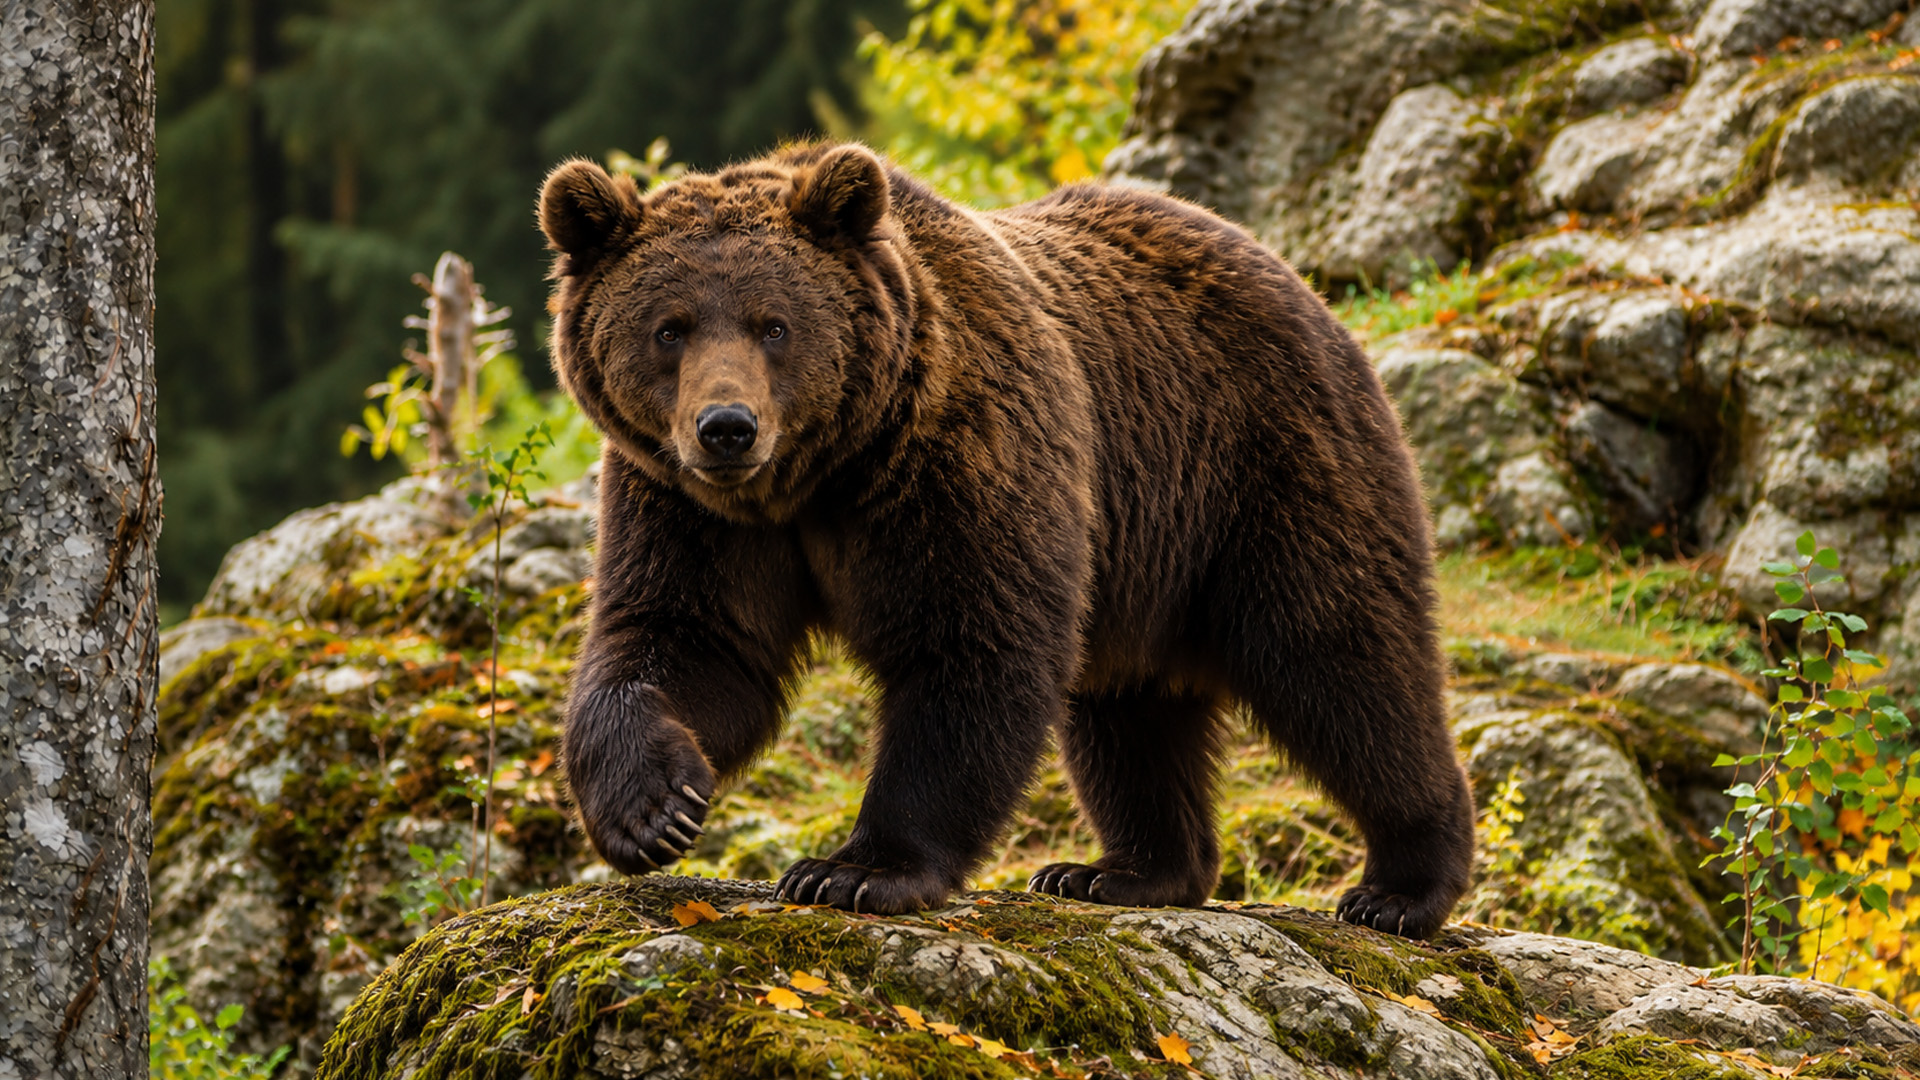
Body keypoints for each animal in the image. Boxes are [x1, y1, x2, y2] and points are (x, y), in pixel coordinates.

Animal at [539, 142, 1475, 939]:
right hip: (1141, 565)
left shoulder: (963, 448)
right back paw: (1122, 870)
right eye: (670, 327)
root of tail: (1297, 278)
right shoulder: (683, 504)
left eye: (774, 324)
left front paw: (855, 870)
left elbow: (973, 643)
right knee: (1128, 714)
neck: (821, 475)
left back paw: (1402, 886)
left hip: (1265, 468)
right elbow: (688, 640)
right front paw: (653, 808)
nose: (727, 427)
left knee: (1341, 660)